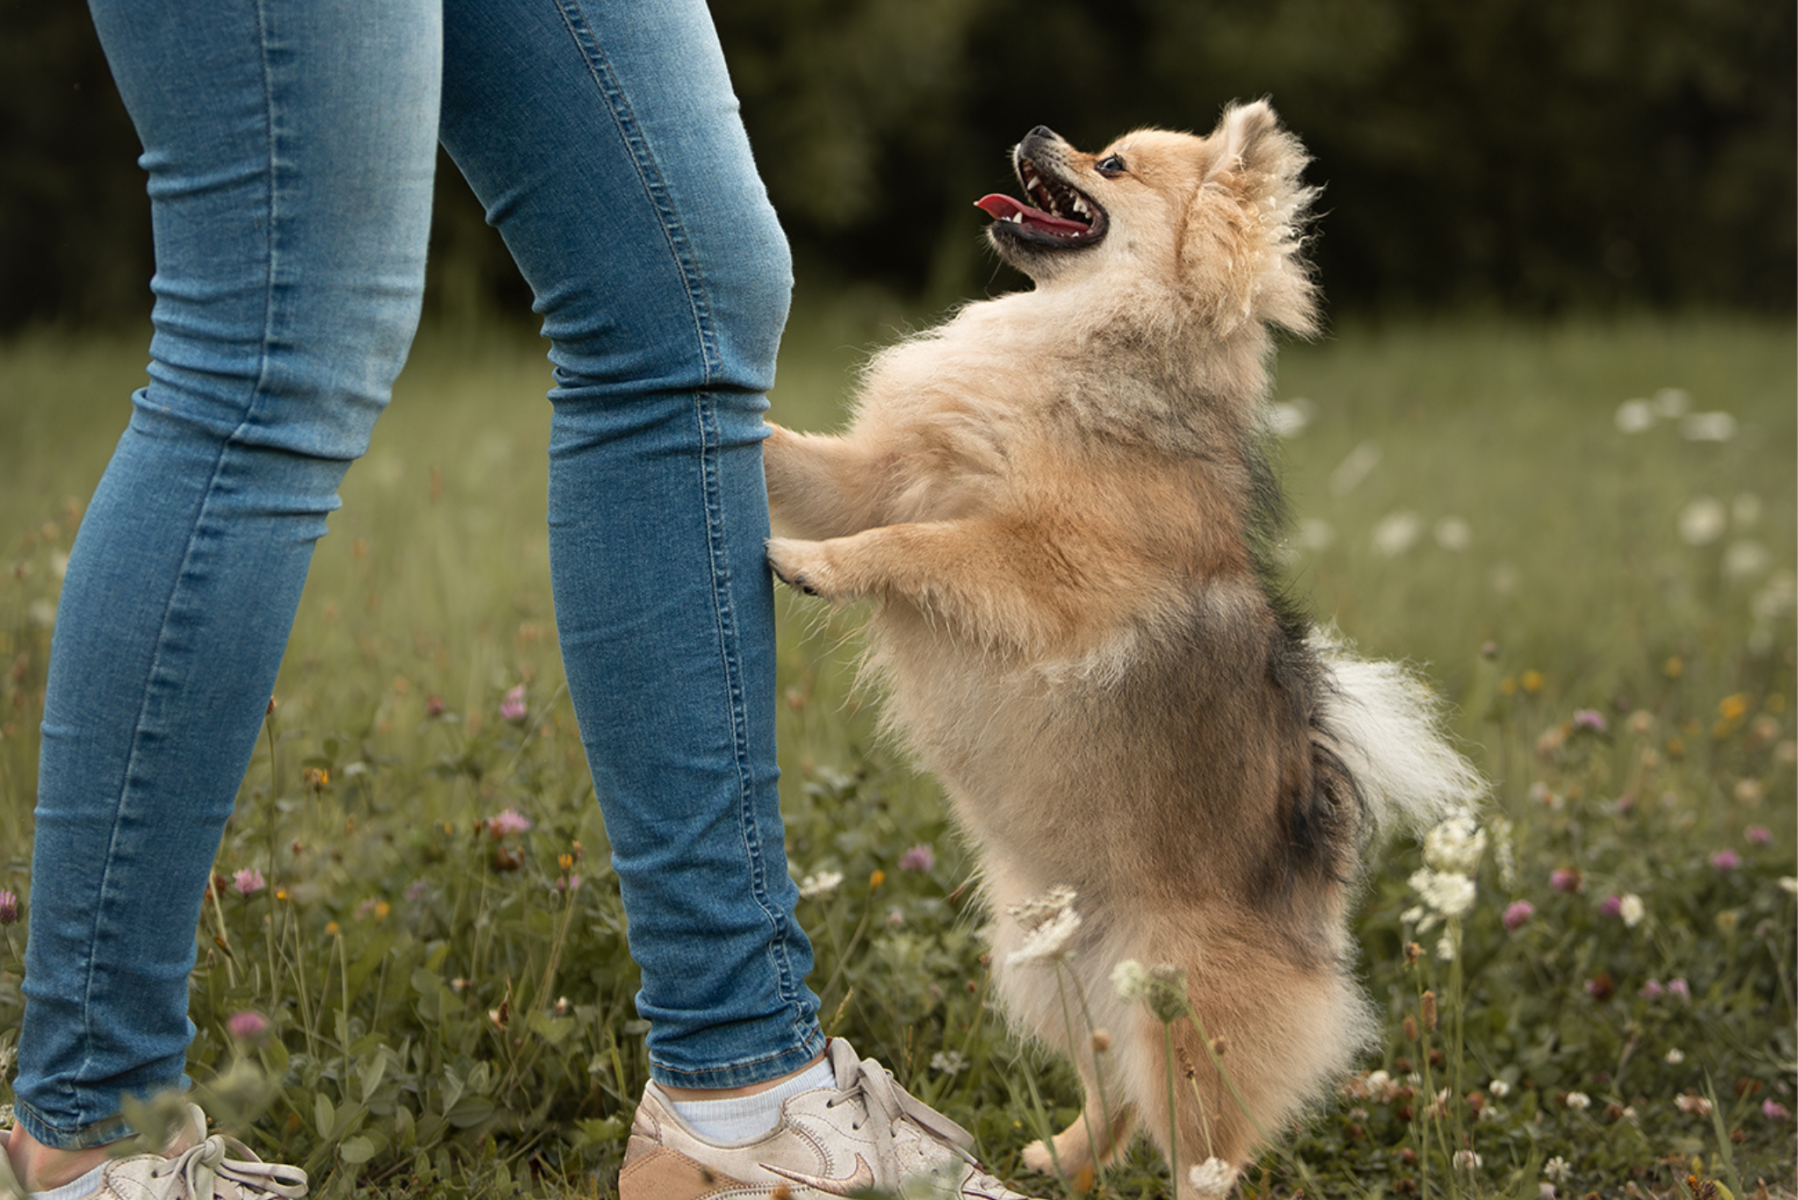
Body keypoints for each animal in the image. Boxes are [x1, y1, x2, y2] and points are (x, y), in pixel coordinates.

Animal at [758, 105, 1474, 1200]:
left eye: (1113, 164)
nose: (1035, 125)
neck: (1074, 336)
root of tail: (1318, 892)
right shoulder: (874, 479)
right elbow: (801, 460)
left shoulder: (1036, 567)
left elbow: (913, 545)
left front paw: (814, 565)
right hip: (1053, 973)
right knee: (1116, 1096)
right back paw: (1056, 1157)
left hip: (1182, 1018)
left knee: (1200, 1148)